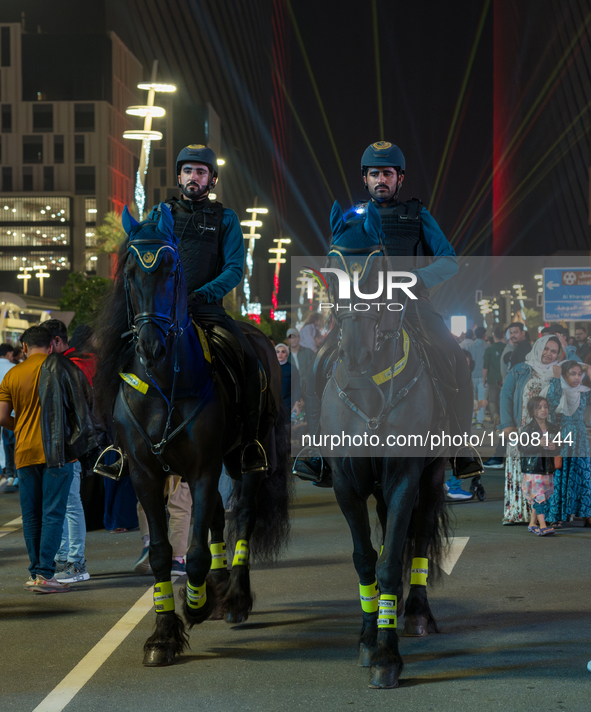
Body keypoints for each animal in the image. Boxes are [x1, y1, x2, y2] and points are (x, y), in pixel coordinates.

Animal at [93, 206, 294, 668]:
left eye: (171, 269)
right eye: (129, 271)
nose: (150, 345)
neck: (164, 386)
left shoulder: (203, 468)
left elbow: (198, 552)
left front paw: (196, 604)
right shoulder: (146, 475)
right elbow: (163, 552)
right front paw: (163, 635)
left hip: (245, 456)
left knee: (243, 514)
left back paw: (234, 596)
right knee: (219, 514)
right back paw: (220, 591)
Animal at [320, 202, 448, 688]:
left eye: (378, 270)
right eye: (331, 269)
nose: (355, 354)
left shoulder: (403, 480)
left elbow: (392, 561)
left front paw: (387, 656)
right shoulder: (346, 483)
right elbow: (364, 559)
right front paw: (367, 637)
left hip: (432, 479)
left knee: (420, 536)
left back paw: (417, 615)